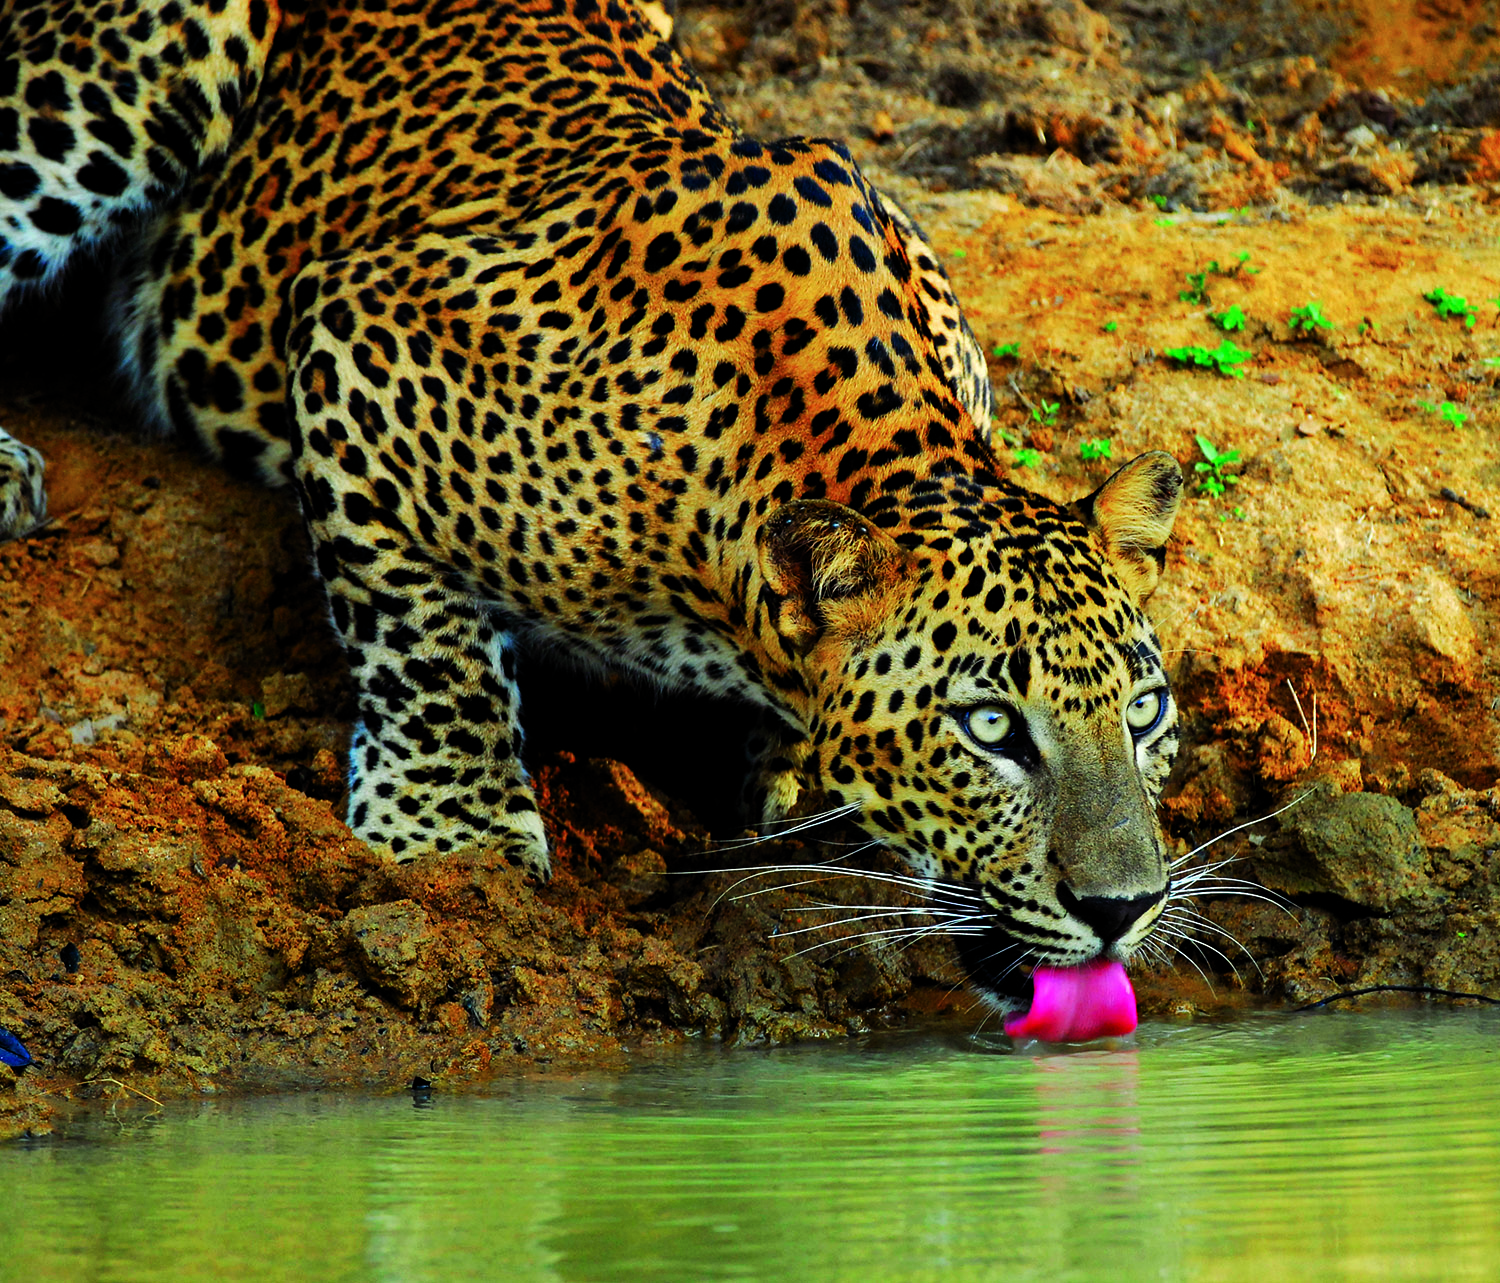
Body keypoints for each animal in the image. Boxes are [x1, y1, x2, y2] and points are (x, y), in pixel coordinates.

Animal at [0, 0, 1185, 1019]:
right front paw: (453, 833)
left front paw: (780, 775)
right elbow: (422, 639)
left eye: (1143, 713)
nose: (1124, 908)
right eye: (991, 728)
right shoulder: (363, 327)